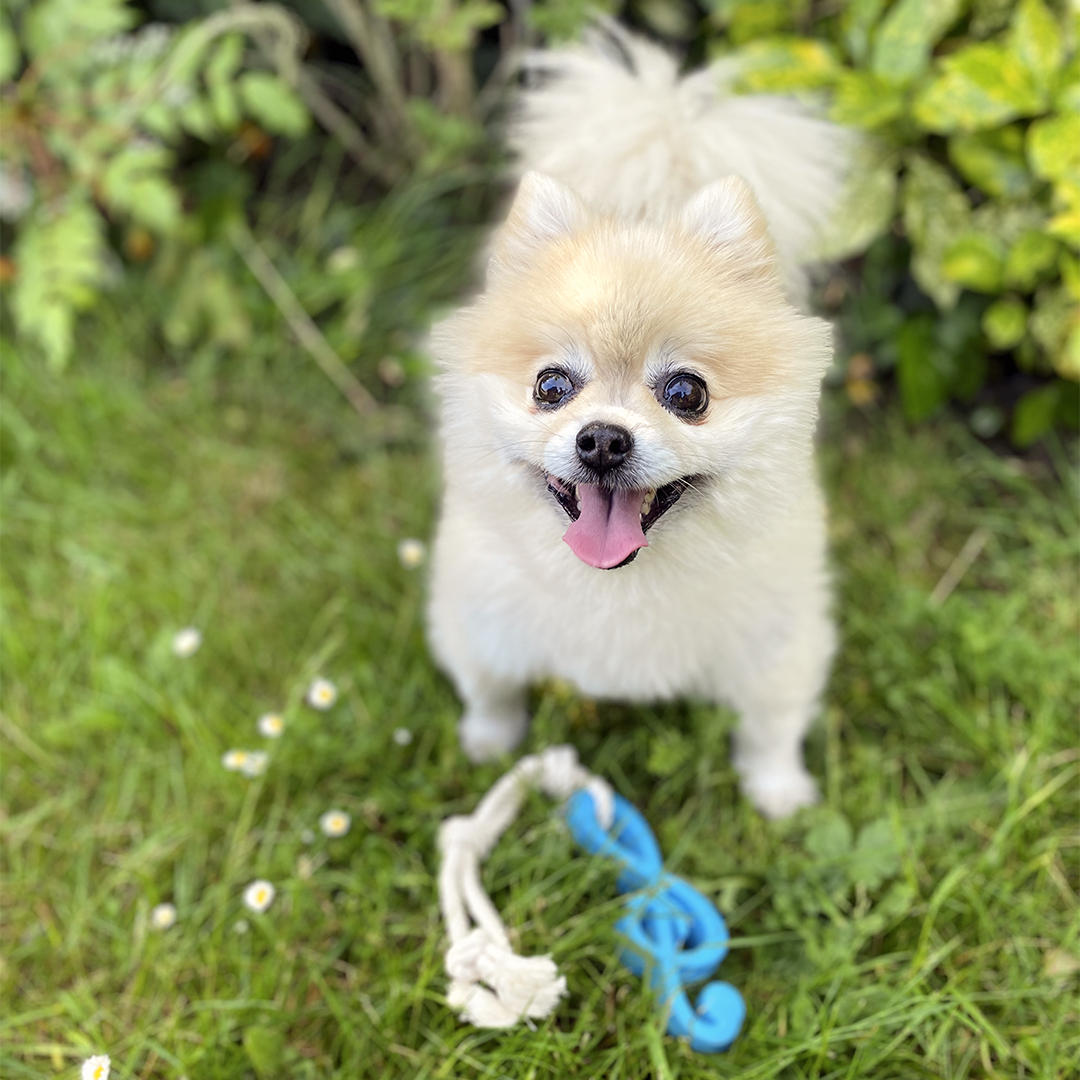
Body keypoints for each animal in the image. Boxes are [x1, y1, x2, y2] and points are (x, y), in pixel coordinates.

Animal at [425, 23, 855, 816]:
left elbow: (771, 725)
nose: (602, 439)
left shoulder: (779, 643)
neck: (619, 584)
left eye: (687, 393)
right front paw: (489, 745)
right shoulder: (480, 620)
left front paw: (779, 793)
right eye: (551, 386)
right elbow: (491, 692)